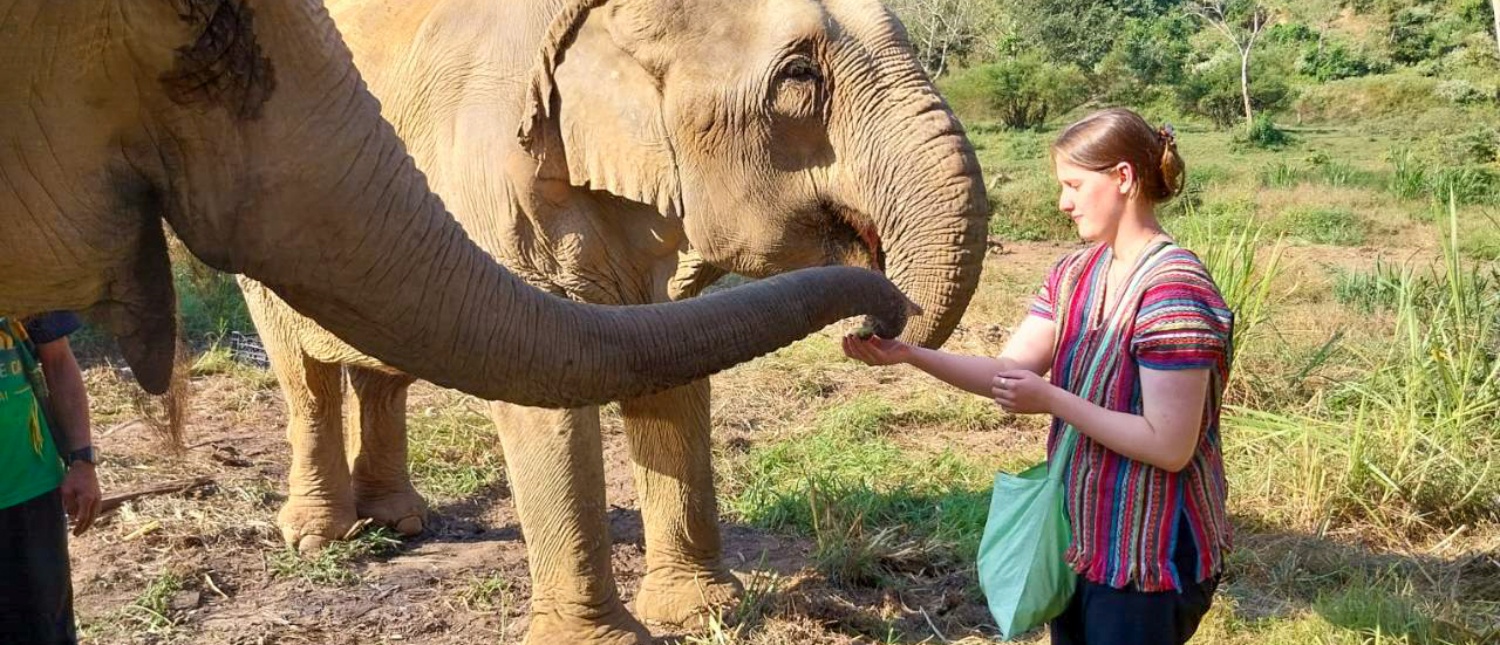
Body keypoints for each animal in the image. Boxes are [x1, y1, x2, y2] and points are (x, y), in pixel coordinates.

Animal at [240, 0, 990, 642]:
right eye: (799, 76)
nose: (876, 323)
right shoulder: (494, 180)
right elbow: (545, 382)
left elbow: (674, 369)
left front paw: (704, 612)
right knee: (306, 379)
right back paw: (321, 536)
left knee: (381, 377)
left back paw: (401, 521)